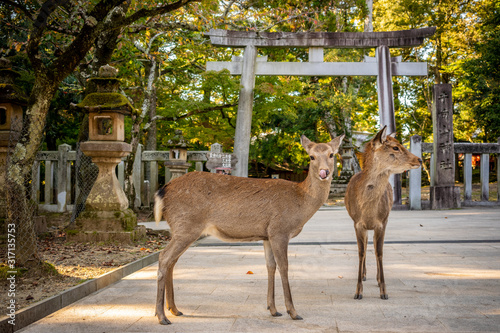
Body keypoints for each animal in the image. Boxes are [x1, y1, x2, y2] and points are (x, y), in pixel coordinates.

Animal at [153, 133, 344, 324]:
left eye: (331, 154)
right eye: (311, 157)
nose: (324, 173)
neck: (301, 201)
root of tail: (162, 192)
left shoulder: (267, 235)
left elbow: (270, 266)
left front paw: (273, 309)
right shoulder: (279, 230)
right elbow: (284, 266)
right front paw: (293, 311)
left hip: (180, 229)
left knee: (172, 261)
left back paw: (175, 309)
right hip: (187, 226)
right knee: (164, 257)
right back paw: (161, 316)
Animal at [344, 126, 422, 300]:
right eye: (395, 147)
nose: (419, 160)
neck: (368, 211)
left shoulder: (381, 222)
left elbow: (379, 252)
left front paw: (384, 291)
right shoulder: (357, 223)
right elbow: (361, 252)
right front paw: (358, 292)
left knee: (374, 246)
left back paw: (378, 279)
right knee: (367, 245)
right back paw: (364, 275)